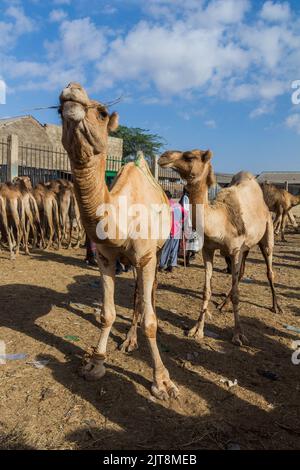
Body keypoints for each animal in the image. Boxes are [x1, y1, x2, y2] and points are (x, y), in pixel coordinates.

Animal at [59, 81, 179, 400]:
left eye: (101, 112)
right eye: (57, 109)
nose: (71, 89)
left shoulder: (147, 257)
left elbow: (150, 319)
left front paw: (163, 382)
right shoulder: (105, 258)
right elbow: (107, 314)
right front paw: (96, 364)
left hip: (156, 253)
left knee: (148, 293)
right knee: (137, 293)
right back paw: (129, 339)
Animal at [158, 150, 282, 346]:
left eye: (189, 156)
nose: (164, 156)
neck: (220, 220)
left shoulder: (235, 251)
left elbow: (238, 293)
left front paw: (238, 335)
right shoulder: (208, 250)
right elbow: (206, 291)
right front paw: (196, 330)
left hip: (267, 233)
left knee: (269, 270)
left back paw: (276, 306)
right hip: (246, 248)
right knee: (241, 272)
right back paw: (223, 304)